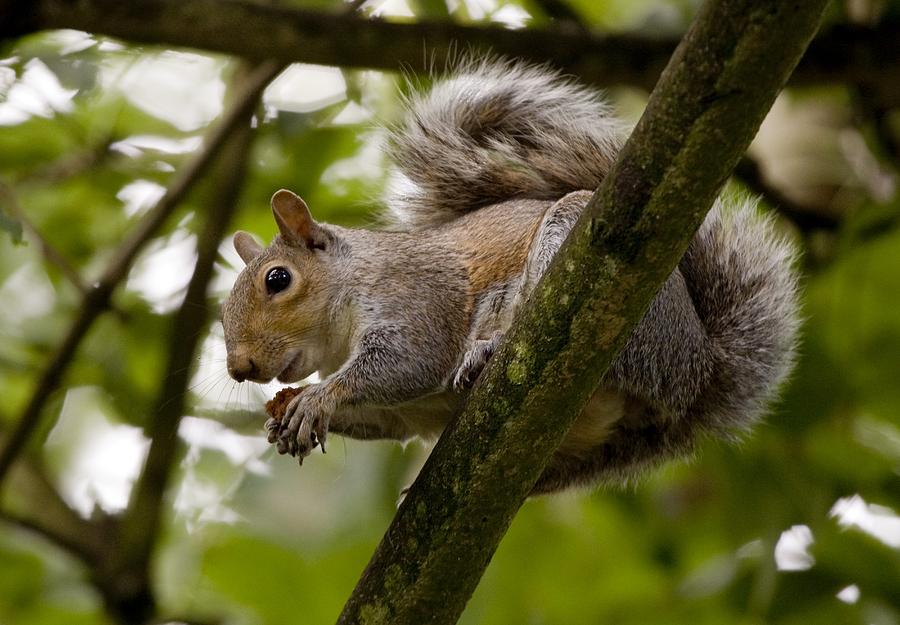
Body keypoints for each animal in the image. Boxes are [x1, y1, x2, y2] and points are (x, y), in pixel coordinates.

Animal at [221, 58, 800, 492]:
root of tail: (698, 369)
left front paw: (320, 397)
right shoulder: (399, 413)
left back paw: (488, 350)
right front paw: (288, 415)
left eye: (277, 280)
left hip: (596, 285)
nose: (239, 368)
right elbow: (386, 418)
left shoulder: (417, 300)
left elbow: (407, 363)